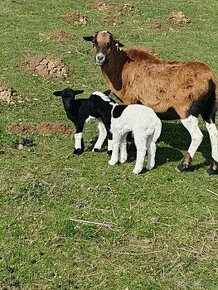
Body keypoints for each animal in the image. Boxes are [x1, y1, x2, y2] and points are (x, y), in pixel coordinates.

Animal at [83, 31, 218, 174]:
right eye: (94, 42)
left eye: (110, 43)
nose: (100, 58)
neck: (121, 66)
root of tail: (210, 78)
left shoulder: (129, 100)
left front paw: (127, 151)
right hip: (209, 111)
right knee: (214, 134)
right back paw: (212, 168)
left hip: (186, 111)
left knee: (197, 136)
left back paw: (183, 165)